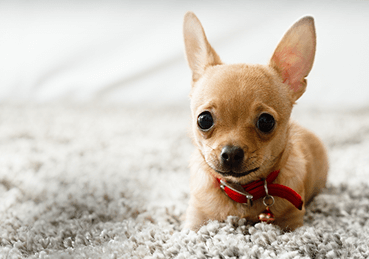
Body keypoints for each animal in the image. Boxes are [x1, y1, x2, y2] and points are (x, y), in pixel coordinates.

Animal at [182, 11, 328, 232]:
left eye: (266, 122)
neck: (243, 193)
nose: (231, 154)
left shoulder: (292, 223)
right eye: (204, 120)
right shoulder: (195, 222)